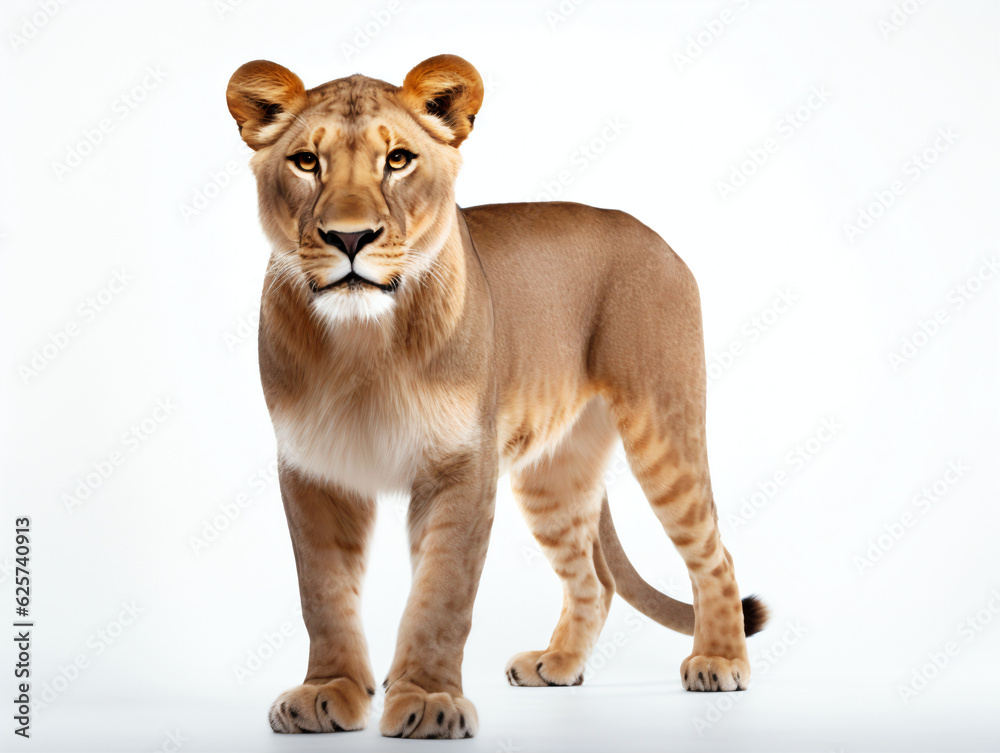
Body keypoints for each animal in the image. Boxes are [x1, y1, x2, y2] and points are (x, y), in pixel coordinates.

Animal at [226, 53, 767, 739]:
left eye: (397, 159)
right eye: (305, 162)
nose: (350, 238)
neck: (363, 342)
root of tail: (650, 233)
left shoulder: (462, 465)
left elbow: (441, 593)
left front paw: (429, 702)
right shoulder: (313, 469)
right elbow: (321, 591)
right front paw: (329, 692)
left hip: (663, 429)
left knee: (715, 554)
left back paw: (720, 660)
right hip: (553, 474)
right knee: (594, 579)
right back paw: (557, 665)